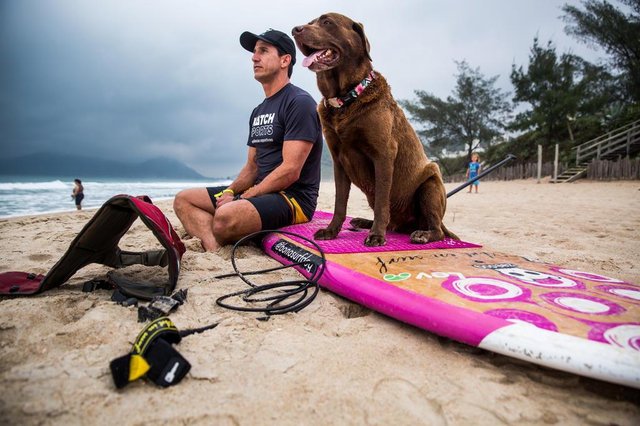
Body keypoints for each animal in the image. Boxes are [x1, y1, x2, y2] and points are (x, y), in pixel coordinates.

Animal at [292, 12, 458, 246]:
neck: (346, 99)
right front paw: (332, 230)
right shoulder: (338, 161)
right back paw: (362, 221)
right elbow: (340, 202)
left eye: (327, 22)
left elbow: (381, 202)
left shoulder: (383, 155)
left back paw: (422, 233)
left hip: (431, 183)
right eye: (310, 22)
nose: (294, 30)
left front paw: (377, 235)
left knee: (436, 229)